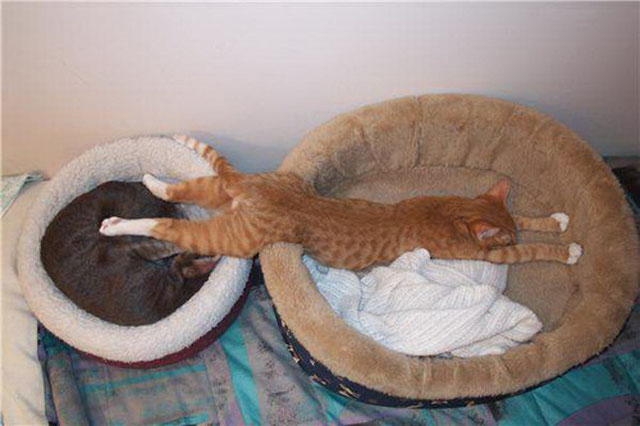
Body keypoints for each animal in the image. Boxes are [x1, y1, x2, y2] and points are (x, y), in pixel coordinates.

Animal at [99, 136, 580, 270]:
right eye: (505, 242)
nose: (509, 237)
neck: (453, 212)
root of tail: (258, 186)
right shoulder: (491, 255)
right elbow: (533, 250)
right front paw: (569, 249)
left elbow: (527, 217)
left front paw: (557, 219)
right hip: (231, 239)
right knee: (165, 227)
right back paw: (113, 225)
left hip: (221, 198)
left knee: (182, 191)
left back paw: (152, 178)